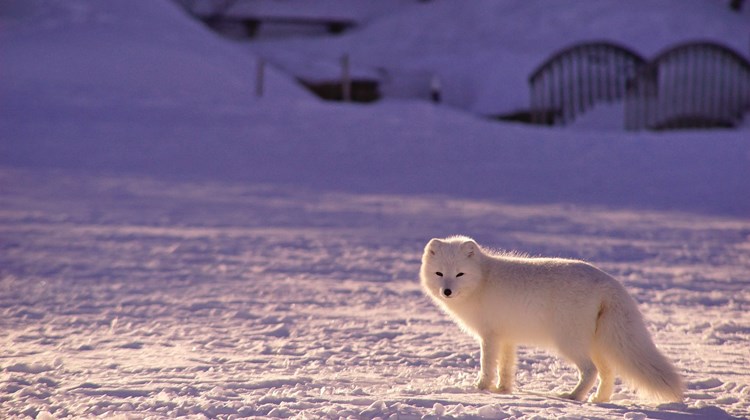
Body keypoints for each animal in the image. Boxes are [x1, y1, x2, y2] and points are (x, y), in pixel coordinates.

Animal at [419, 235, 684, 403]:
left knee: (590, 370)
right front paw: (503, 390)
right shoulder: (507, 337)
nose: (447, 291)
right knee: (608, 372)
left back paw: (573, 397)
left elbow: (487, 365)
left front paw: (480, 389)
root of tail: (609, 282)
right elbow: (506, 367)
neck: (483, 280)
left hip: (568, 342)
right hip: (597, 343)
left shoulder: (490, 336)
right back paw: (599, 399)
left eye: (460, 274)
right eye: (439, 273)